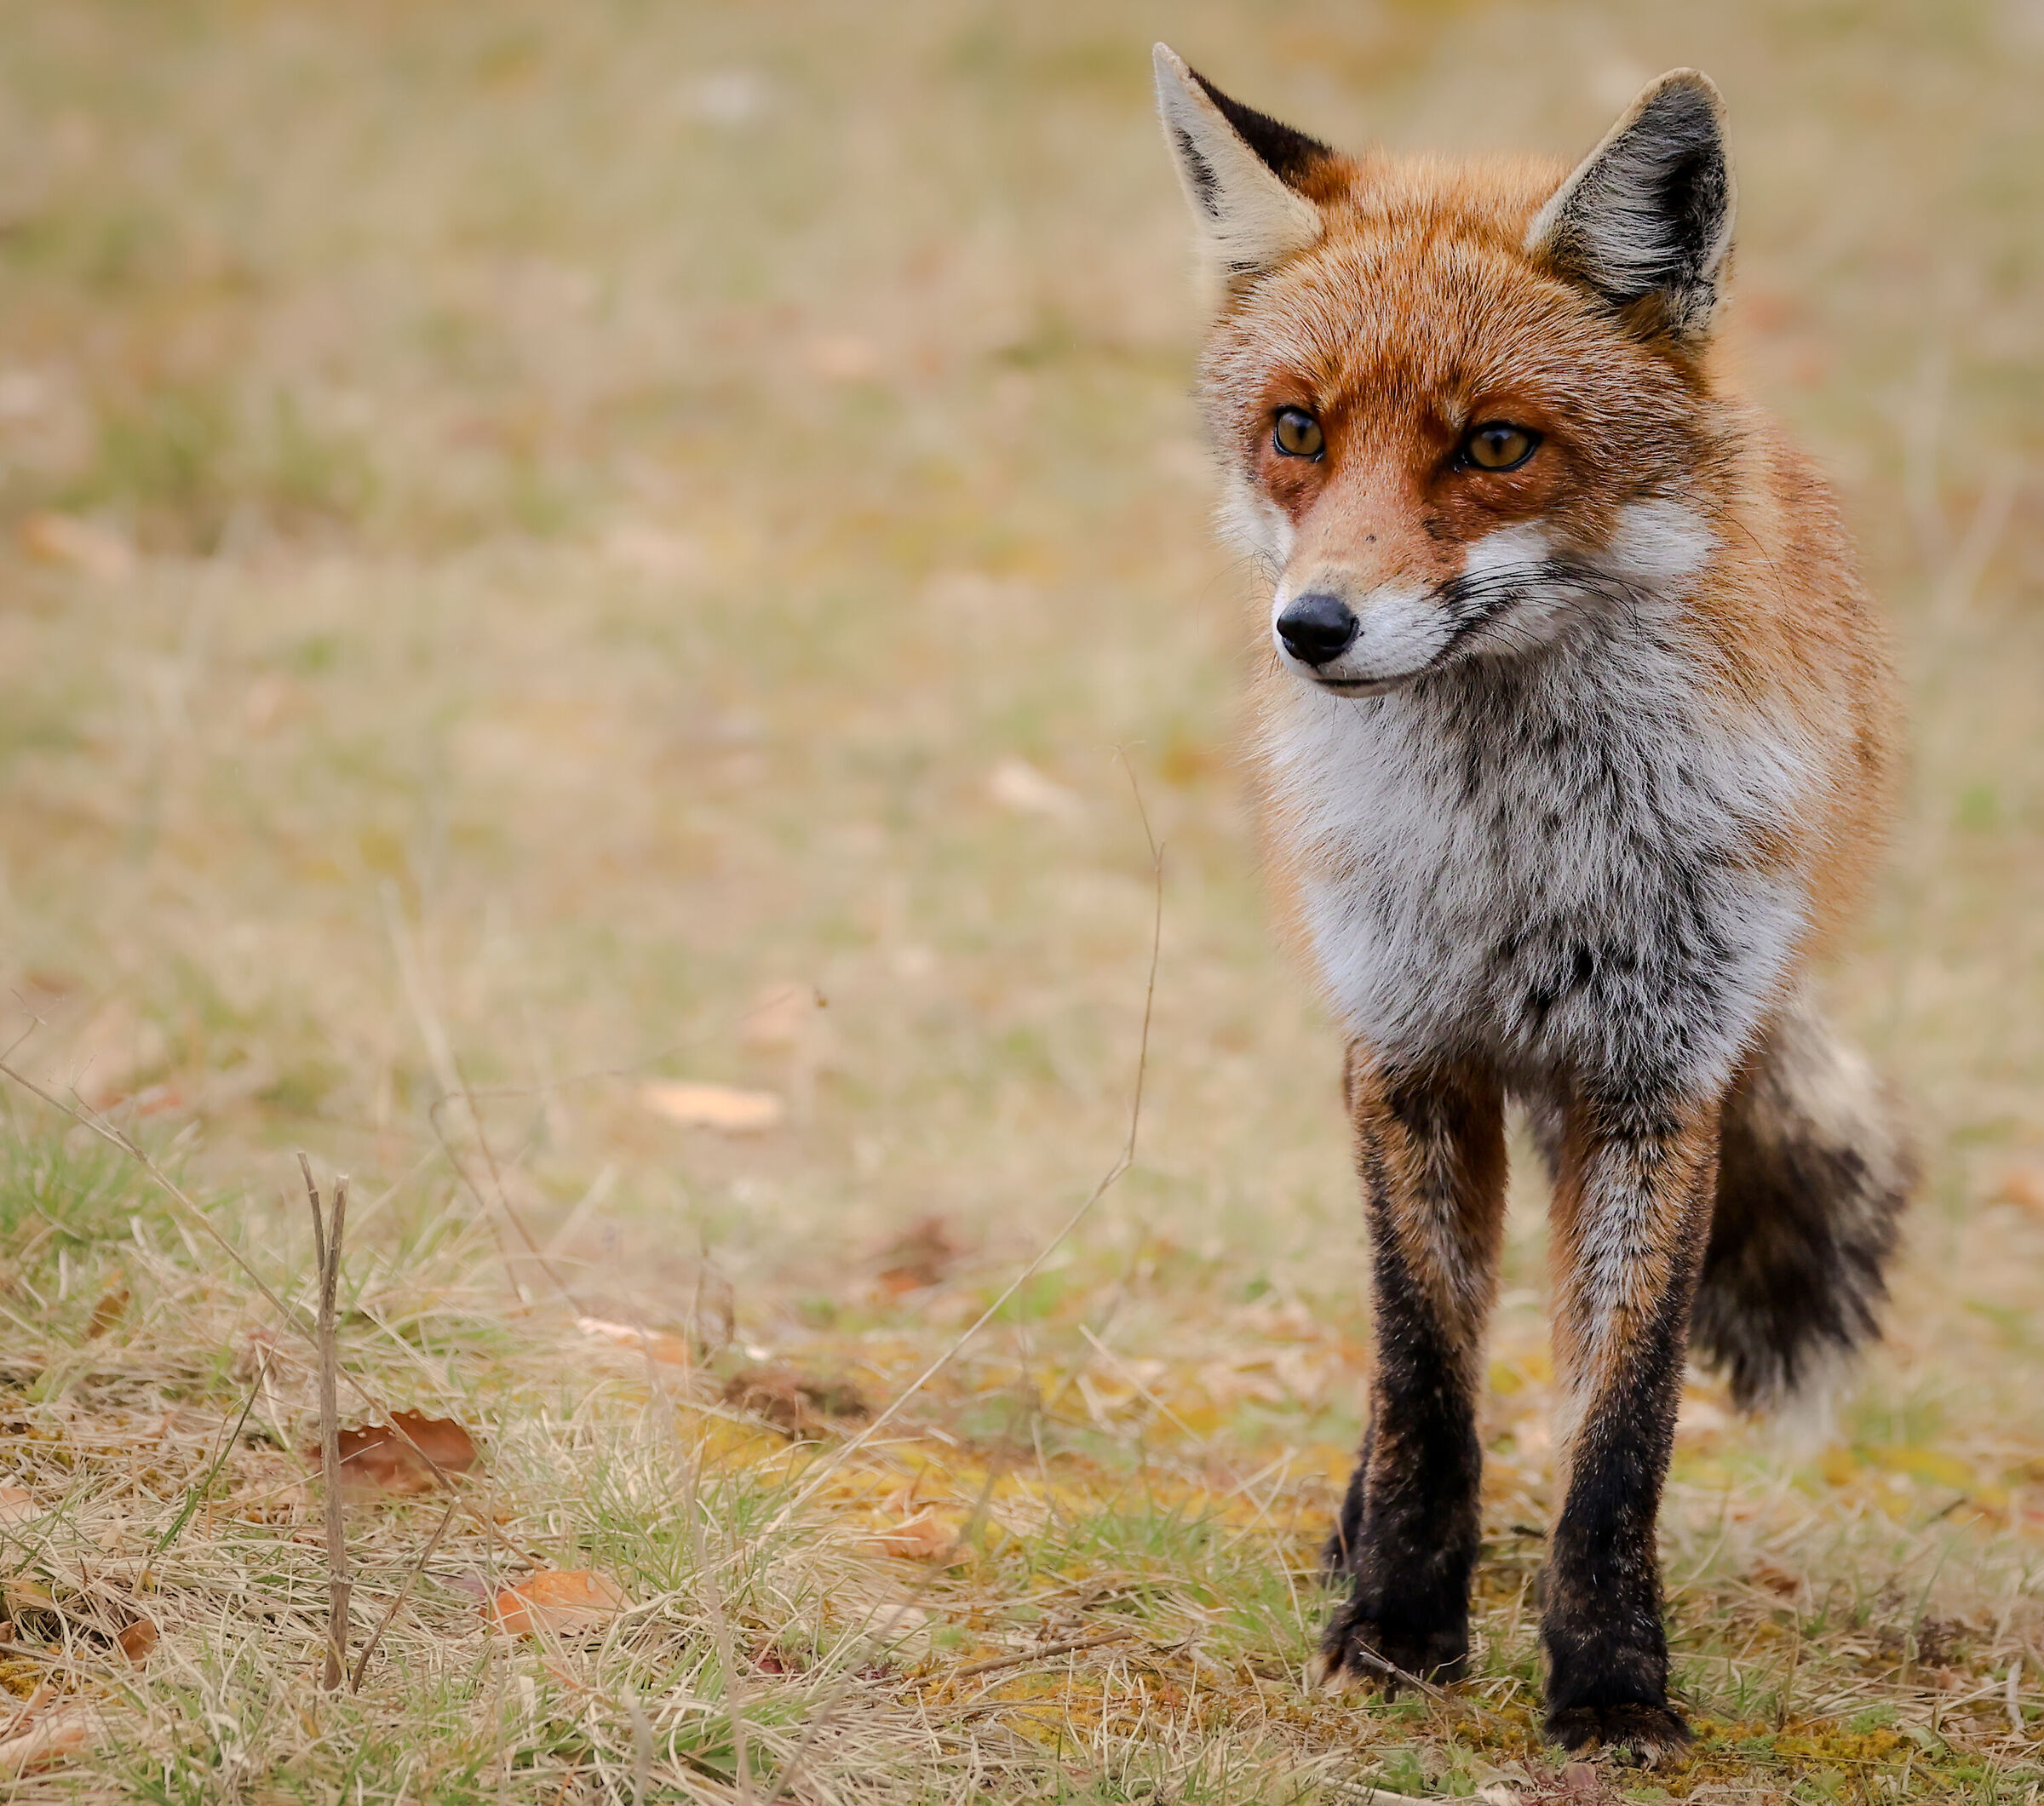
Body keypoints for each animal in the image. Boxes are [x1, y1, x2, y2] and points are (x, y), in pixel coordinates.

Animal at [1152, 47, 1913, 1761]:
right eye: (1297, 429)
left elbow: (1619, 1433)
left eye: (1496, 447)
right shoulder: (1407, 1055)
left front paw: (1613, 1682)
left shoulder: (1656, 1084)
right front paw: (1394, 1633)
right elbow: (1427, 1384)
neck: (1519, 849)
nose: (1313, 627)